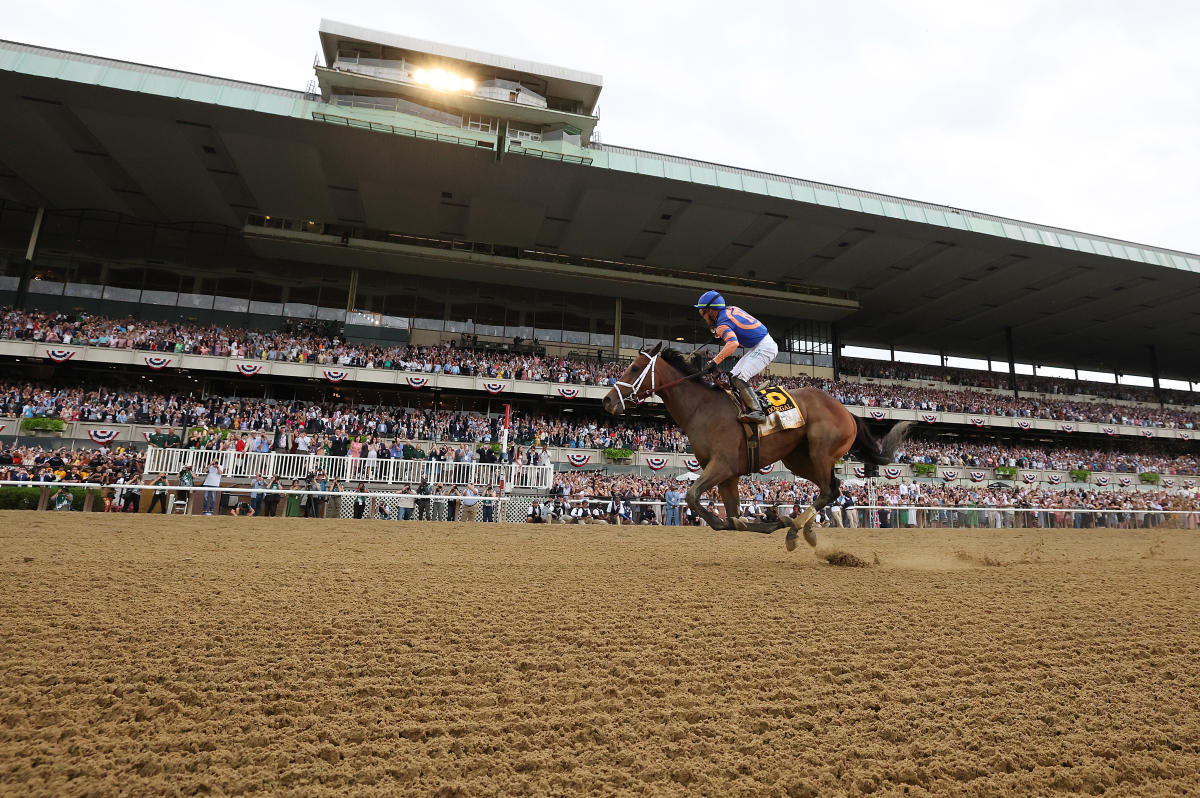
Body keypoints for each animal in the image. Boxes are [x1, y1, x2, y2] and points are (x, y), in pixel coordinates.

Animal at [604, 338, 912, 552]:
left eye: (634, 368)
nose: (607, 401)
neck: (701, 409)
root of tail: (846, 411)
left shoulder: (722, 465)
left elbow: (694, 498)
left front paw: (775, 522)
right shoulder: (726, 475)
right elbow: (733, 517)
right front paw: (762, 522)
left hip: (821, 452)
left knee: (828, 490)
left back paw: (795, 530)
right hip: (799, 459)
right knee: (832, 490)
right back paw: (804, 530)